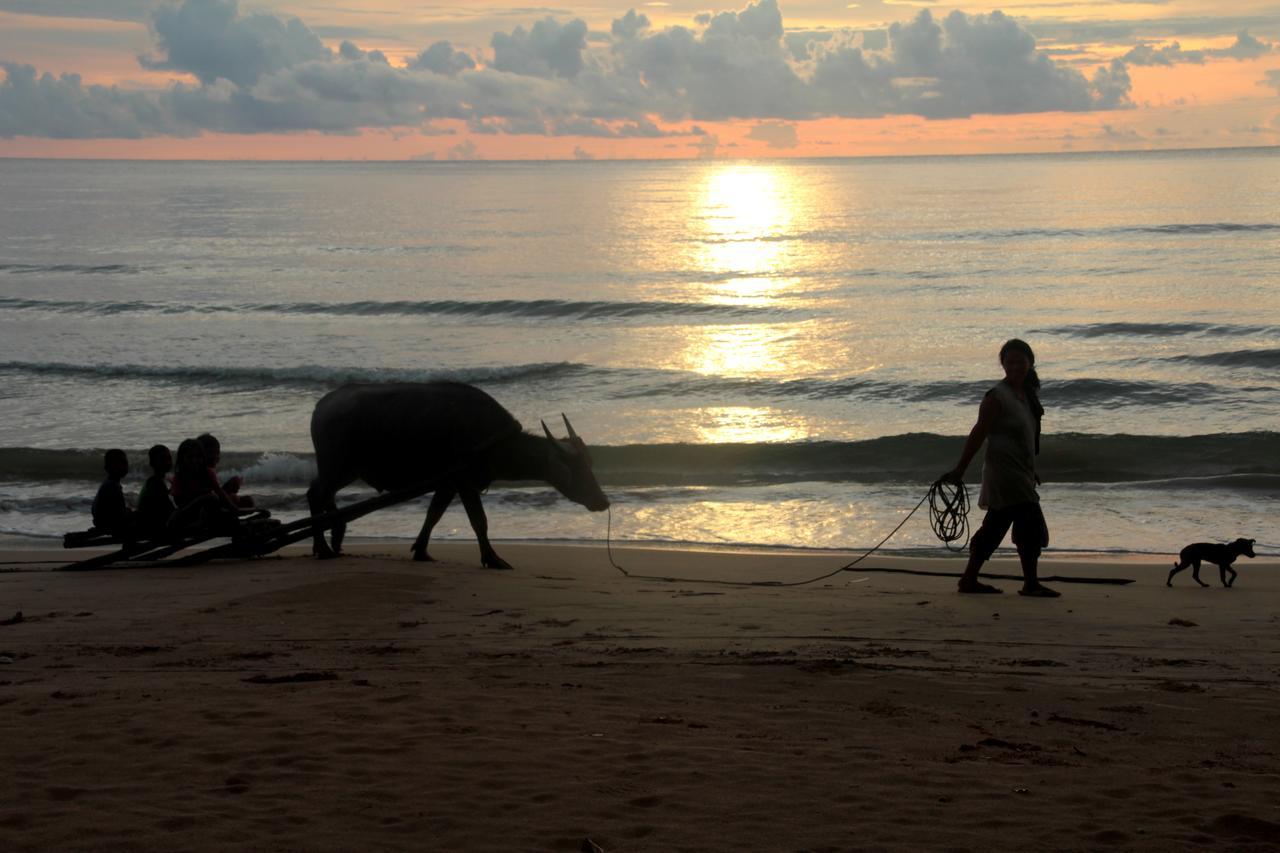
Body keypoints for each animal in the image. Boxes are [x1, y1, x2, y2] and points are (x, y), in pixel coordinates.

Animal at [308, 381, 609, 568]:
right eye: (577, 468)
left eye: (590, 464)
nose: (603, 501)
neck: (492, 439)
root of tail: (322, 407)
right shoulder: (465, 482)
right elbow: (479, 521)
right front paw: (492, 558)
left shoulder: (448, 483)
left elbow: (434, 514)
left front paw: (421, 550)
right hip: (337, 467)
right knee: (315, 495)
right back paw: (323, 547)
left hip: (342, 470)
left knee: (324, 496)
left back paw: (335, 535)